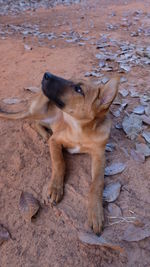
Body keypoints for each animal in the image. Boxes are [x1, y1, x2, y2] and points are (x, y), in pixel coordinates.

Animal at [0, 72, 119, 233]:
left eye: (78, 89)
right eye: (71, 80)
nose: (46, 74)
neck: (80, 131)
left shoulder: (99, 156)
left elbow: (97, 183)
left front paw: (96, 212)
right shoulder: (56, 141)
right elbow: (59, 163)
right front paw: (55, 188)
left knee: (36, 122)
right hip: (40, 107)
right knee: (32, 121)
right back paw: (45, 135)